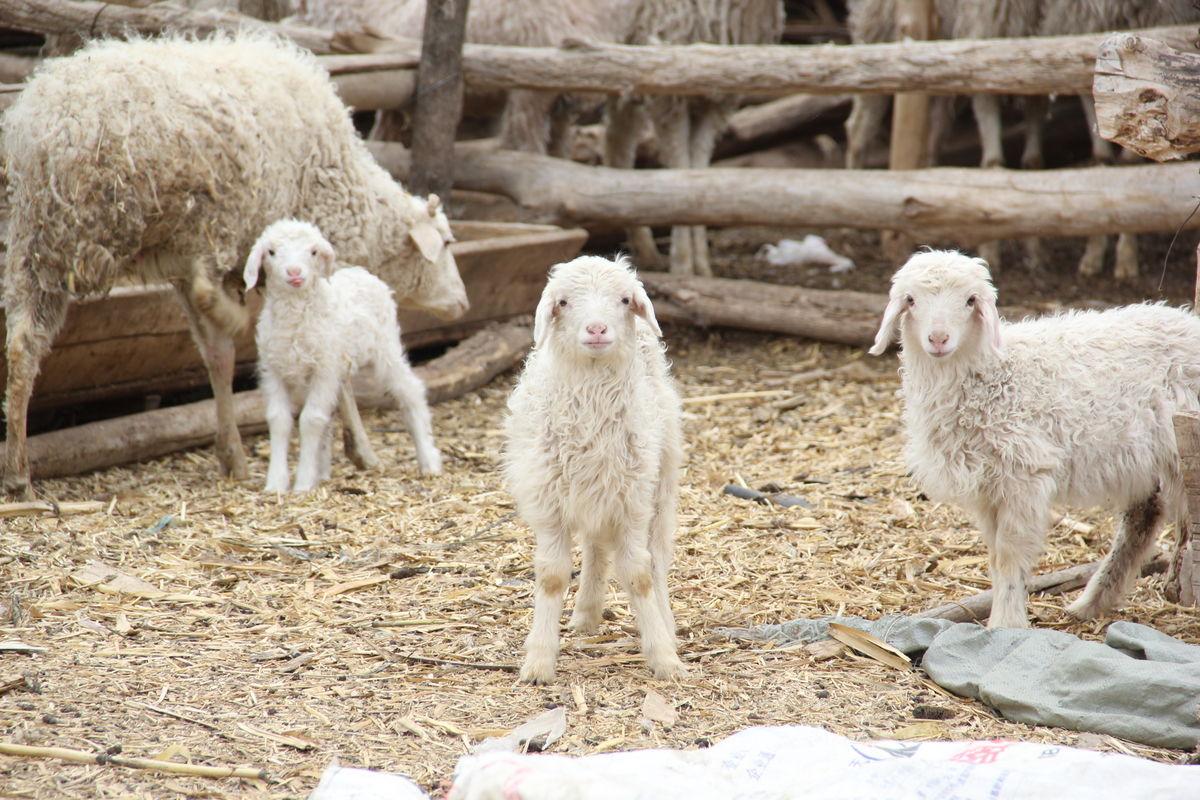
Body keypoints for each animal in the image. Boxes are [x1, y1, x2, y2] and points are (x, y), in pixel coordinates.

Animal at [244, 219, 441, 494]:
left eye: (313, 251)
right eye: (271, 252)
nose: (294, 272)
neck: (295, 315)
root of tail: (362, 272)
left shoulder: (324, 368)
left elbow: (311, 419)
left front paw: (302, 484)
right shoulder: (273, 370)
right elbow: (279, 420)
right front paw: (275, 484)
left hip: (386, 347)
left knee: (410, 391)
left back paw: (429, 461)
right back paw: (322, 472)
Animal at [504, 255, 686, 681]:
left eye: (624, 300)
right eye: (564, 302)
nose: (597, 328)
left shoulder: (633, 498)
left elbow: (639, 574)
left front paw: (663, 656)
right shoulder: (550, 500)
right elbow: (552, 576)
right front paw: (539, 659)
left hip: (659, 482)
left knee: (657, 558)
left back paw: (665, 622)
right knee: (595, 546)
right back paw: (587, 612)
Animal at [868, 248, 1200, 623]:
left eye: (970, 301)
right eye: (910, 300)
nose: (938, 339)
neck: (995, 373)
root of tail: (1188, 320)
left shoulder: (1023, 474)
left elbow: (1009, 554)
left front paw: (1006, 623)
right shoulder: (988, 487)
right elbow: (994, 555)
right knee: (1144, 516)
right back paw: (1092, 602)